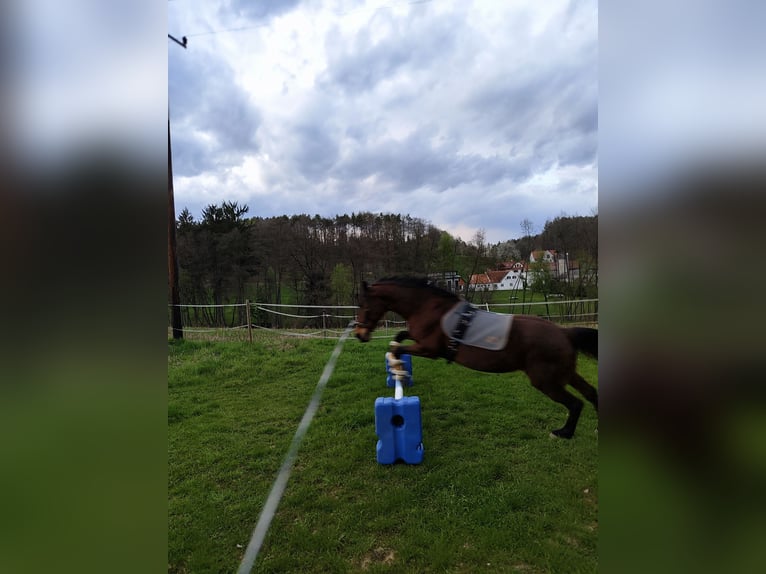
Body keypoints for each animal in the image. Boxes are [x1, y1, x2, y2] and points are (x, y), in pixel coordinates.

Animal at [354, 276, 598, 439]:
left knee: (576, 403)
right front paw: (398, 368)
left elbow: (397, 350)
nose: (359, 335)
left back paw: (563, 433)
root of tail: (565, 333)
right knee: (591, 394)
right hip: (566, 374)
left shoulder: (429, 350)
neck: (428, 308)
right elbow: (398, 339)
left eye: (363, 305)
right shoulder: (418, 339)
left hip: (545, 381)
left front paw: (399, 368)